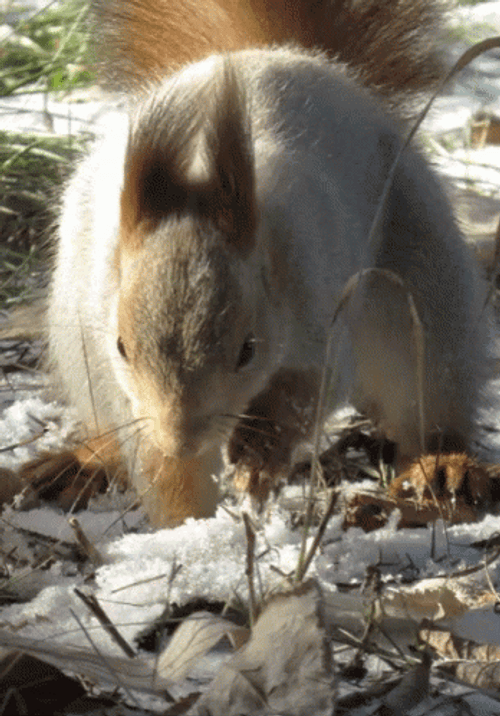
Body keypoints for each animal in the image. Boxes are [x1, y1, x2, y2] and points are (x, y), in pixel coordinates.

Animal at [6, 0, 489, 526]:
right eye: (121, 347)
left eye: (247, 350)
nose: (182, 439)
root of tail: (279, 51)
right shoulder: (117, 370)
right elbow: (158, 460)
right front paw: (186, 523)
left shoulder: (318, 307)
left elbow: (305, 392)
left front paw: (258, 461)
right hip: (78, 349)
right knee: (106, 426)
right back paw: (82, 463)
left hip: (420, 283)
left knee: (426, 400)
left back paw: (441, 468)